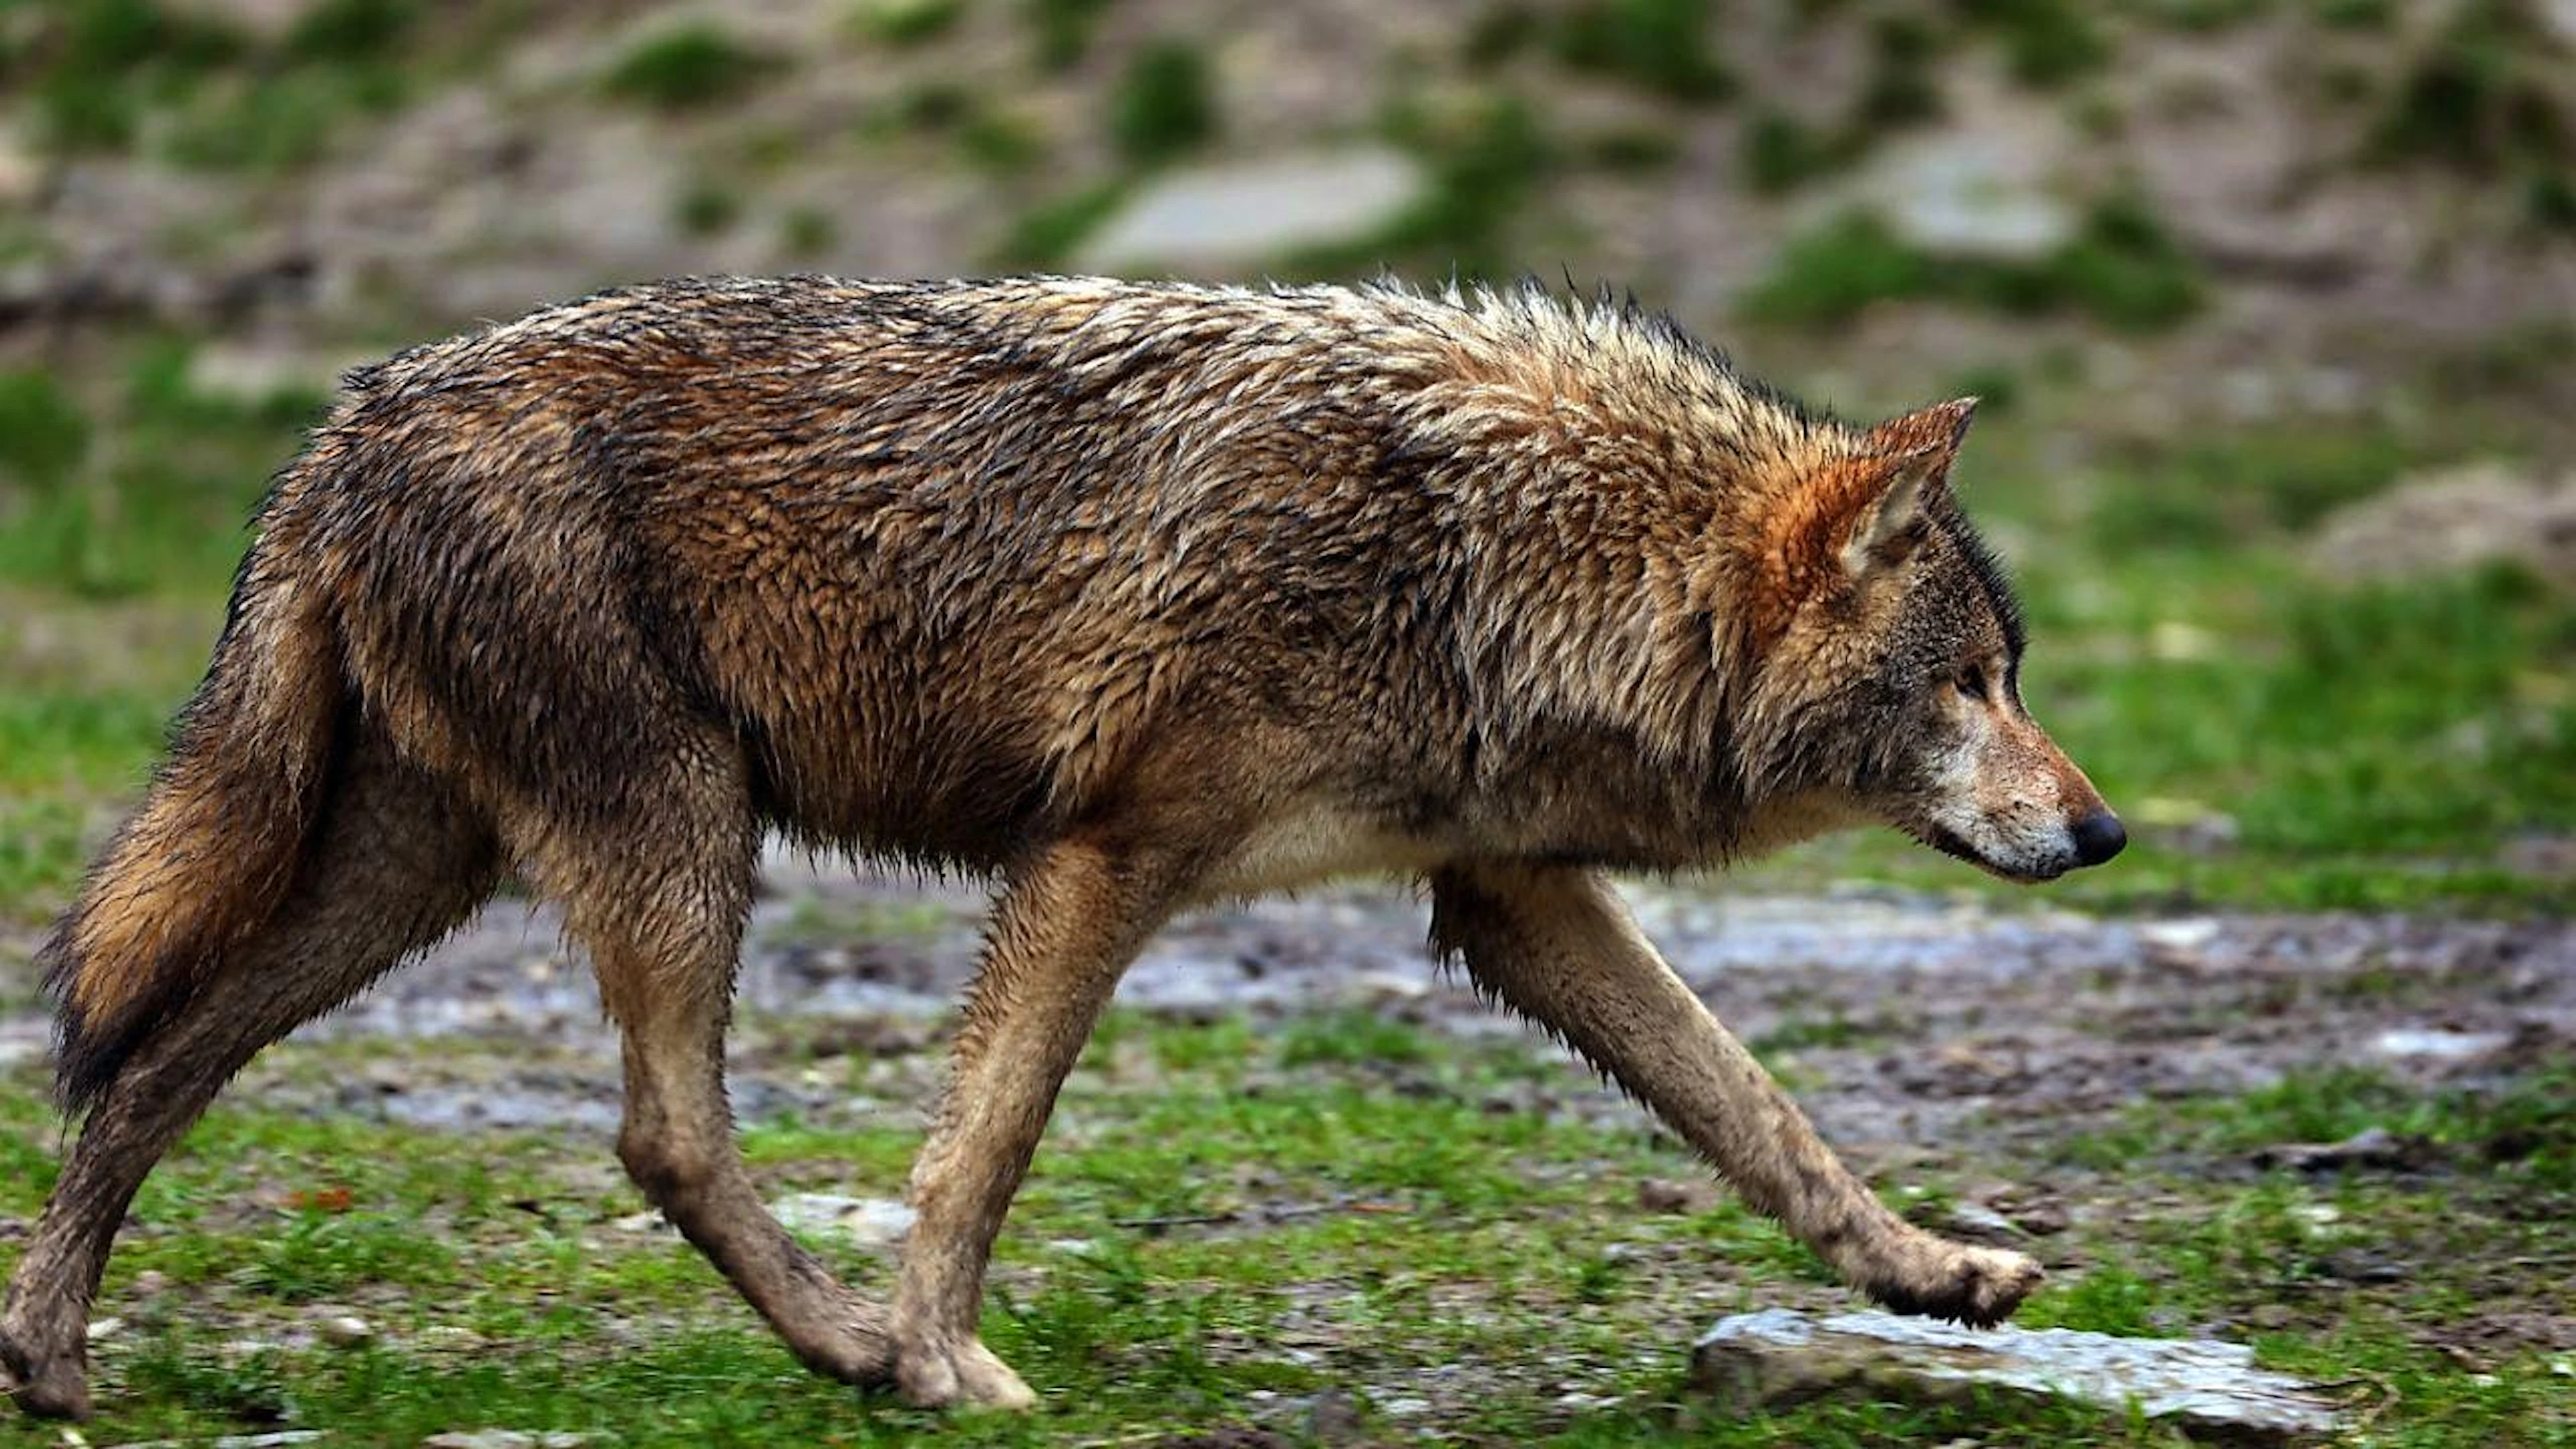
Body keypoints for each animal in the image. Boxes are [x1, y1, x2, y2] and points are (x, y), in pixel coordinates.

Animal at [1, 276, 2122, 1417]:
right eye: (1975, 681)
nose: (2103, 829)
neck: (1496, 551)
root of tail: (336, 426)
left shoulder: (1507, 898)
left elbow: (1762, 1112)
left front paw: (1934, 1274)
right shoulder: (1105, 855)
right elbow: (986, 1148)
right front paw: (945, 1362)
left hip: (422, 874)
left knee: (150, 1063)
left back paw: (53, 1361)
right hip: (675, 838)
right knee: (659, 1133)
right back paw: (854, 1352)